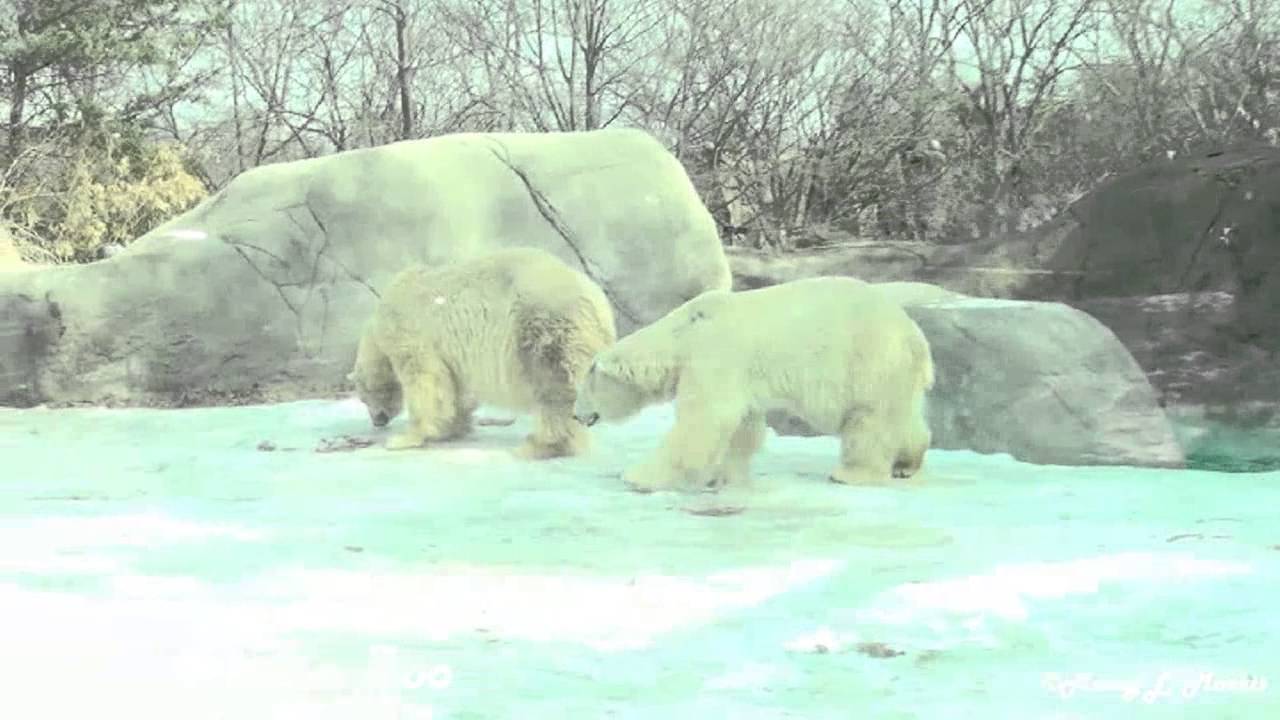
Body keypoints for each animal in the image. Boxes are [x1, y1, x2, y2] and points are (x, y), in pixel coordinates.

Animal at [349, 246, 617, 458]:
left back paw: (540, 444)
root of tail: (598, 304)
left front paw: (404, 438)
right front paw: (453, 427)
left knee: (552, 387)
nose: (377, 420)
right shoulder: (452, 354)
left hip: (543, 328)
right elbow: (453, 388)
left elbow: (425, 381)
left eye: (365, 397)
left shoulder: (410, 333)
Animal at [571, 276, 935, 491]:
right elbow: (740, 425)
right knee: (902, 419)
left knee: (869, 420)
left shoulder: (714, 355)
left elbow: (704, 420)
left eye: (583, 389)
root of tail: (915, 335)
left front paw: (637, 476)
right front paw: (723, 475)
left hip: (869, 361)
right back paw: (907, 464)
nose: (576, 414)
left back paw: (851, 473)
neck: (683, 334)